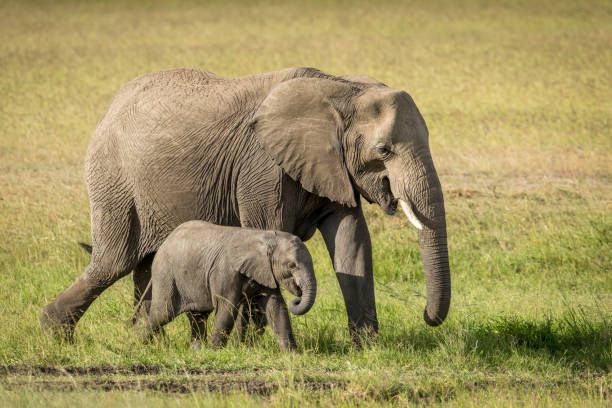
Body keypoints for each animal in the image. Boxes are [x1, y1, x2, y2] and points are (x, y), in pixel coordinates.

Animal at [139, 220, 316, 350]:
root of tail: (164, 243)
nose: (297, 297)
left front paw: (293, 354)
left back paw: (196, 351)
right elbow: (227, 307)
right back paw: (141, 344)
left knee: (198, 316)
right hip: (166, 274)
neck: (264, 236)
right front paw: (215, 351)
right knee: (163, 312)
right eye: (292, 265)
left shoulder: (264, 270)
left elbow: (276, 307)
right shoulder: (225, 271)